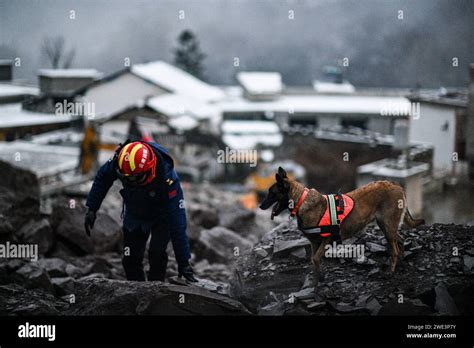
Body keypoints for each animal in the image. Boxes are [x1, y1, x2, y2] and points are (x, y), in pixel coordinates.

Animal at [260, 167, 426, 294]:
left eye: (272, 193)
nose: (261, 206)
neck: (301, 201)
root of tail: (395, 185)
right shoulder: (314, 243)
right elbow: (314, 262)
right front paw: (316, 282)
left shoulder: (326, 239)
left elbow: (315, 259)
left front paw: (318, 283)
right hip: (386, 226)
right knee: (401, 240)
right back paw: (401, 262)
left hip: (387, 225)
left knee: (395, 248)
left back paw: (391, 271)